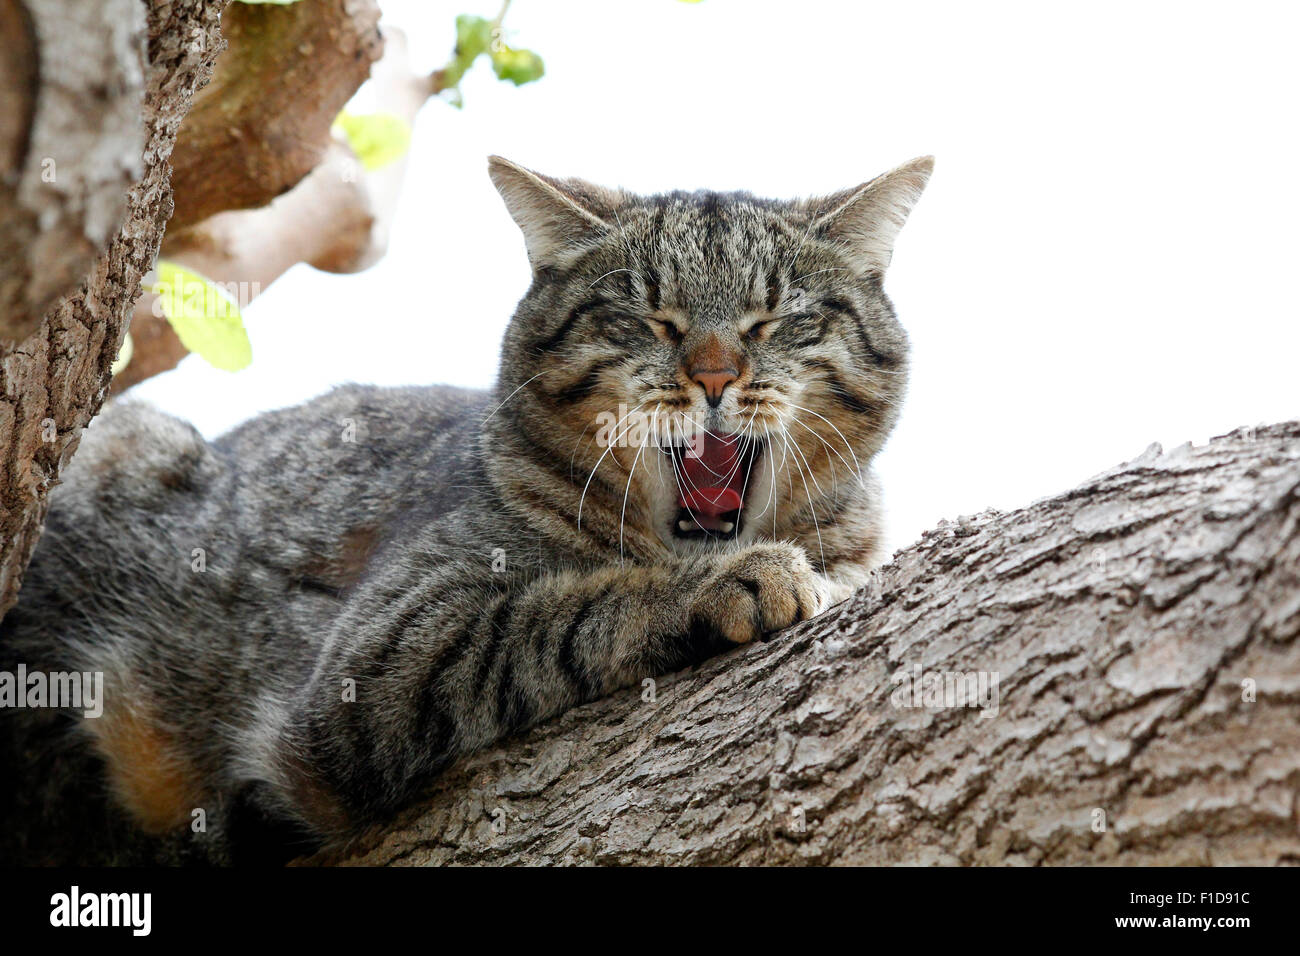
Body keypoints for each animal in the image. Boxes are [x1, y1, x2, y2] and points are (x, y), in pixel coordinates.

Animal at [2, 157, 935, 868]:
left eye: (774, 318)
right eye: (649, 317)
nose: (713, 375)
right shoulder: (383, 655)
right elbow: (570, 608)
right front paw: (736, 579)